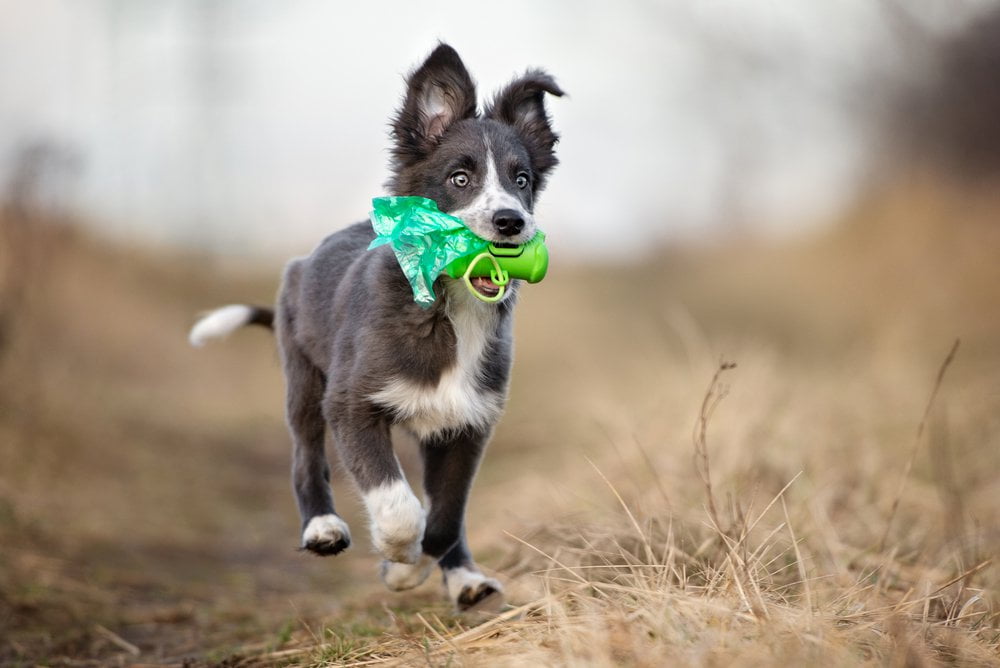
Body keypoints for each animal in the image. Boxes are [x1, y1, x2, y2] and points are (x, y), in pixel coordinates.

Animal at [188, 43, 564, 612]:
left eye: (521, 180)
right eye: (459, 178)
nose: (510, 223)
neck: (447, 308)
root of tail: (301, 263)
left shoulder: (469, 423)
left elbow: (446, 514)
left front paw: (422, 564)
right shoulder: (351, 404)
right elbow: (399, 505)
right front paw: (400, 562)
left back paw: (467, 581)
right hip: (304, 381)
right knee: (306, 457)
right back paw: (322, 527)